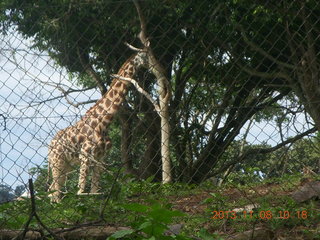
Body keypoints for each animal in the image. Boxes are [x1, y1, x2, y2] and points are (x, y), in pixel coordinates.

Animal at [48, 51, 148, 202]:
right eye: (145, 56)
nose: (152, 66)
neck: (103, 122)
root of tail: (50, 145)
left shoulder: (100, 157)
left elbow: (95, 191)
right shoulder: (85, 155)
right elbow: (81, 190)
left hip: (67, 164)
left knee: (54, 189)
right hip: (57, 161)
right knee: (55, 190)